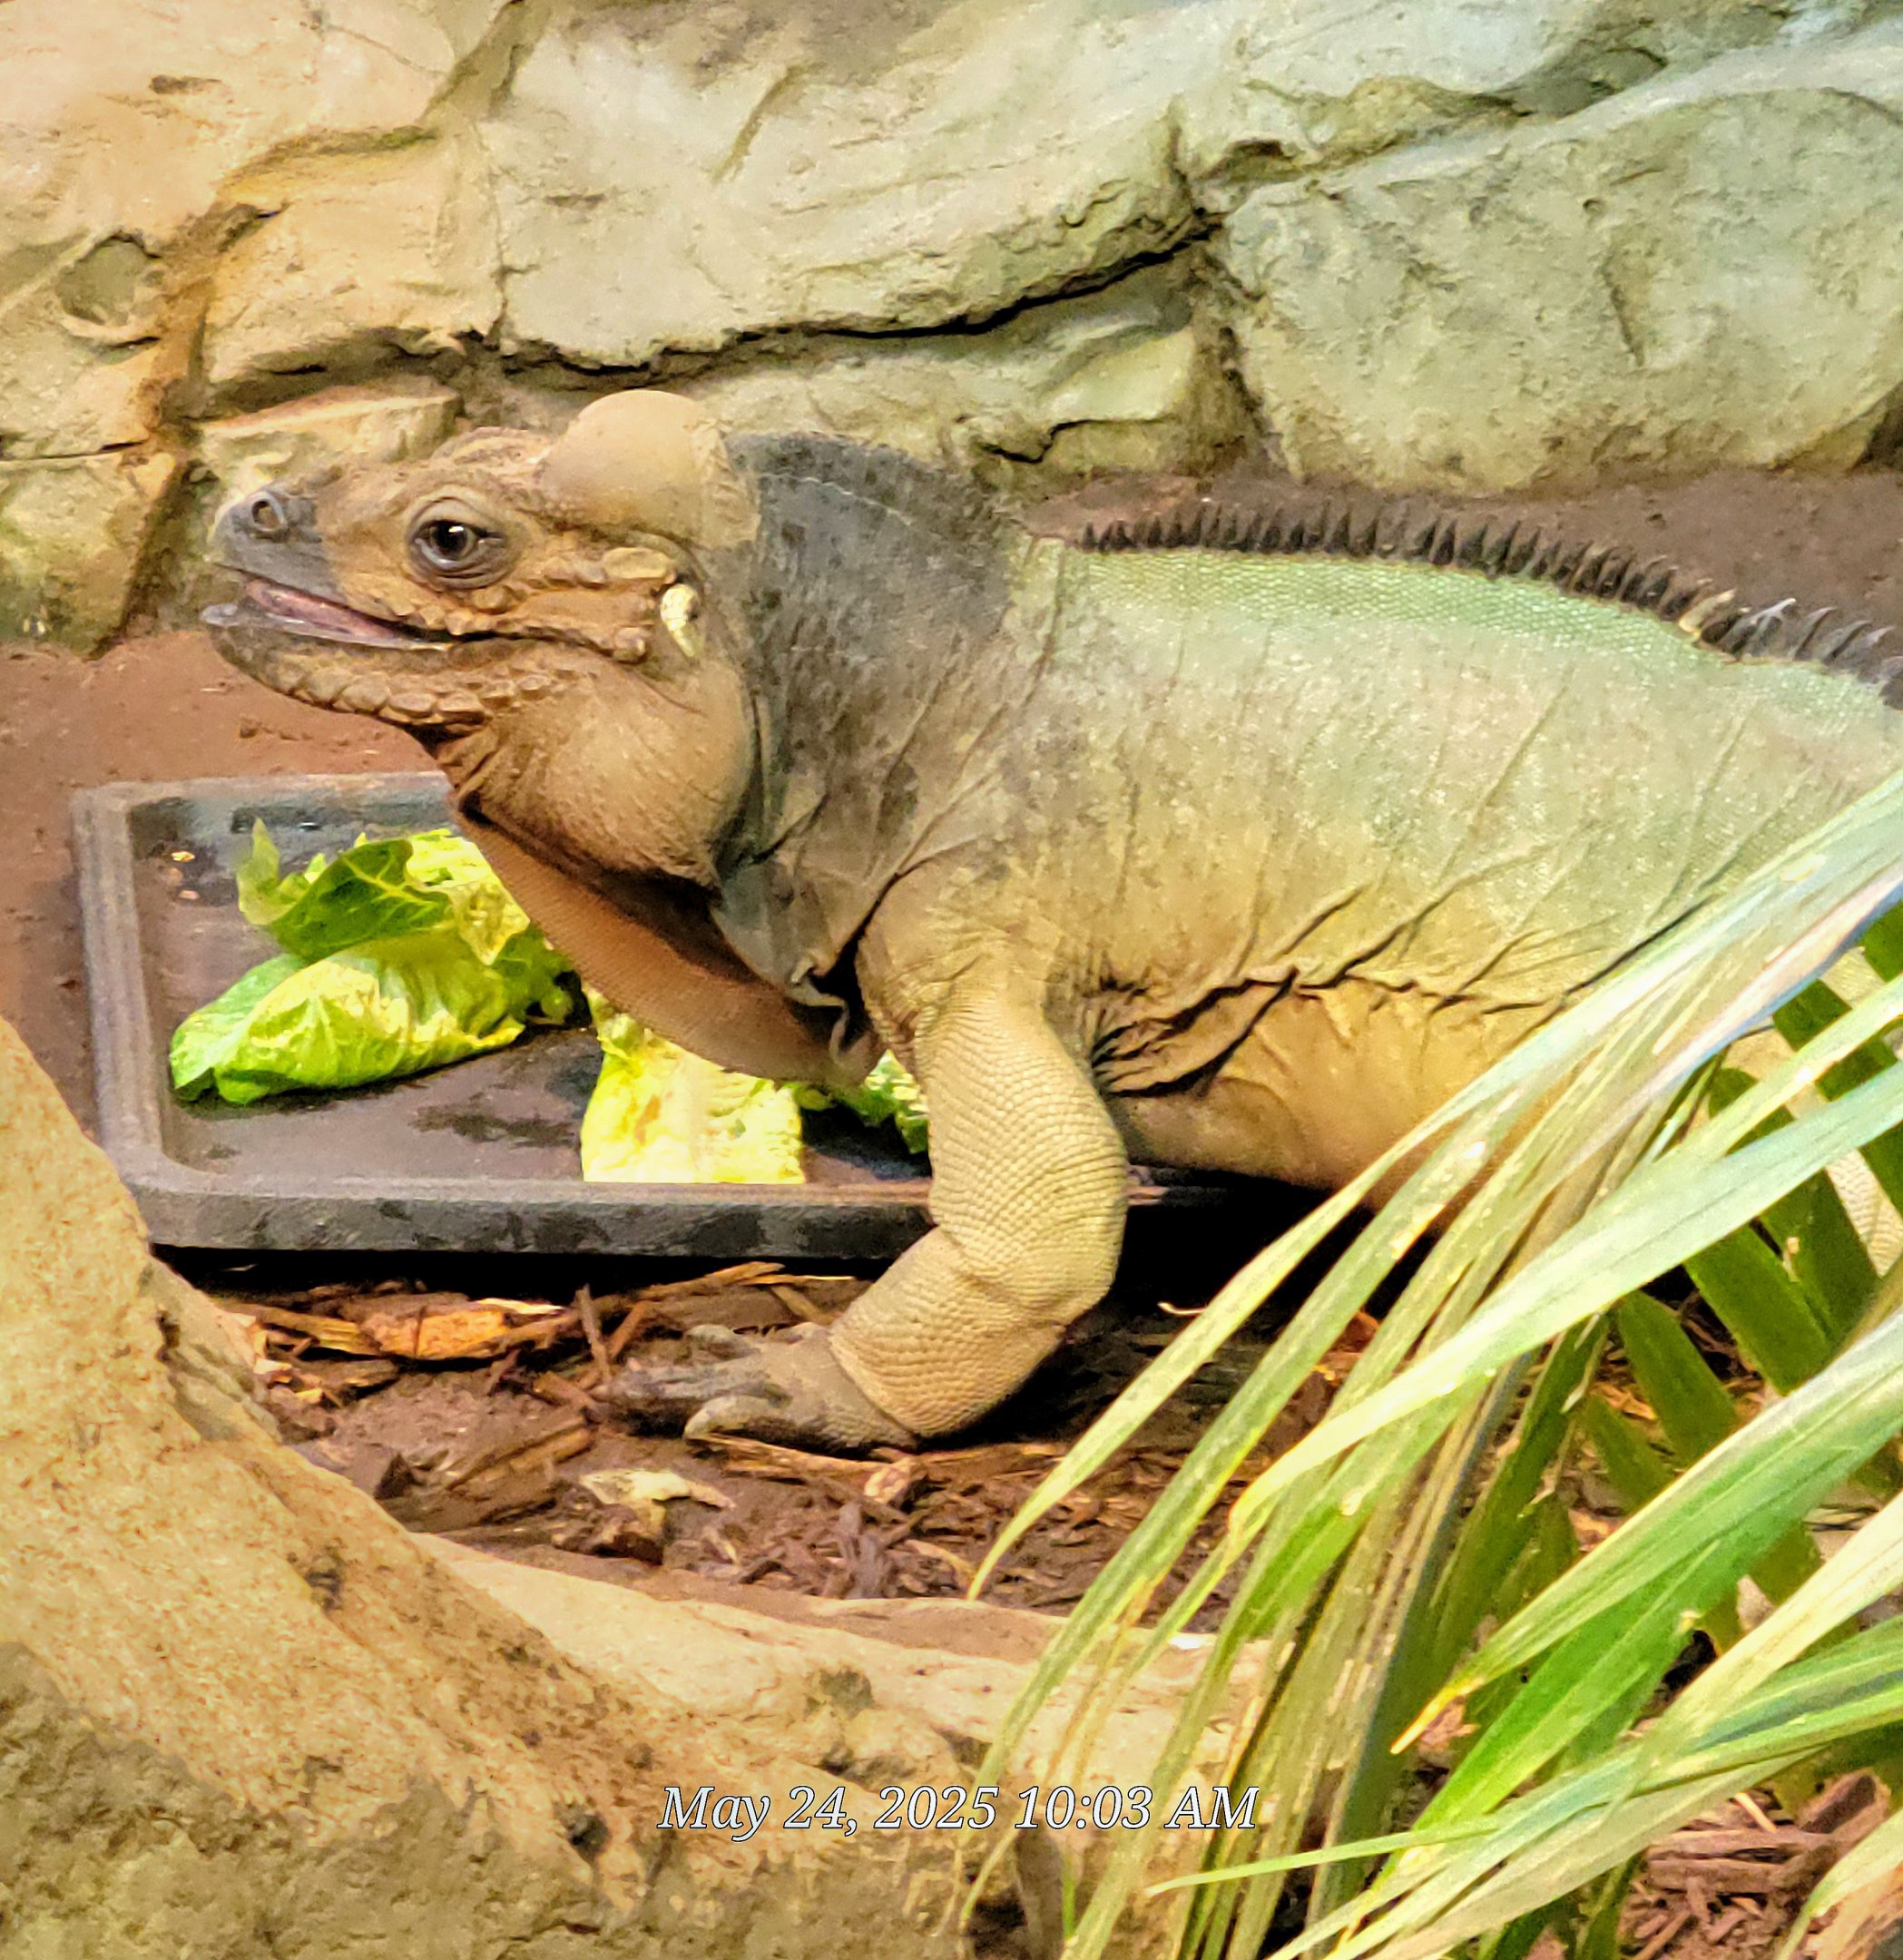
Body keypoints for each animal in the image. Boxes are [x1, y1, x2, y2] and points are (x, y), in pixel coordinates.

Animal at [205, 390, 1902, 1448]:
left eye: (450, 537)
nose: (244, 511)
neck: (898, 706)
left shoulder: (971, 930)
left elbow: (1037, 1238)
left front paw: (808, 1382)